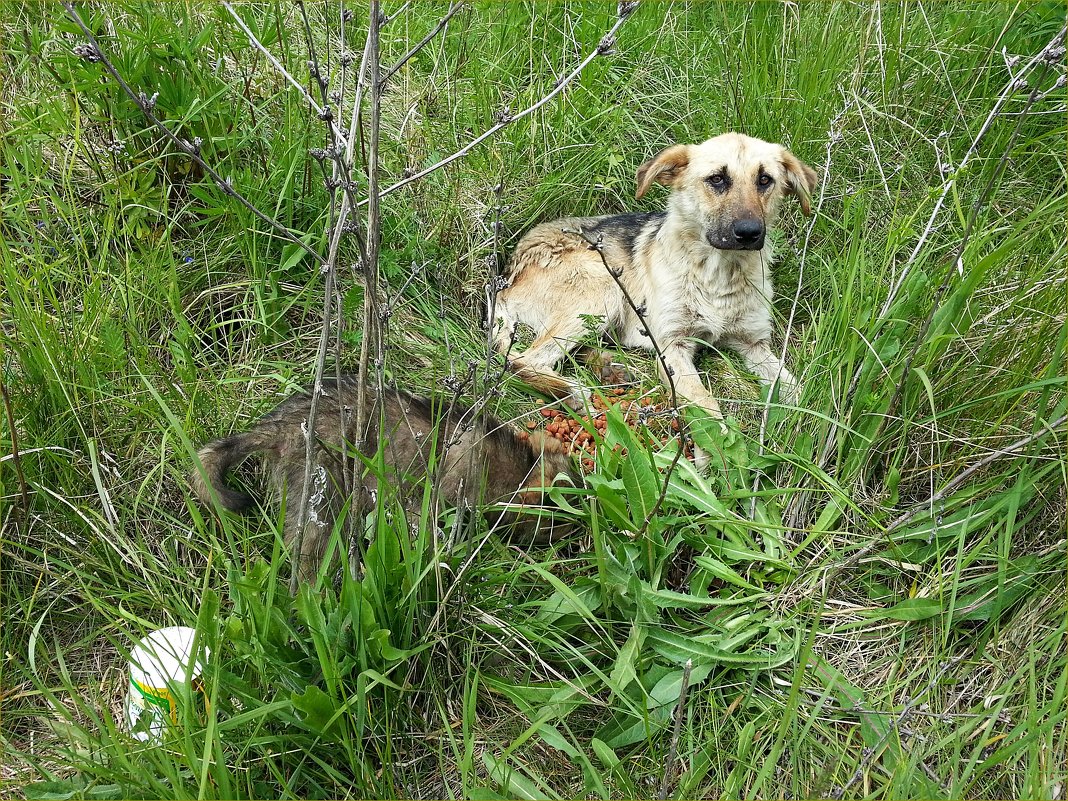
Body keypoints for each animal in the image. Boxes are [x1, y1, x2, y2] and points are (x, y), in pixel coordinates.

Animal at [192, 380, 576, 580]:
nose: (577, 546)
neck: (515, 464)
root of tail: (278, 425)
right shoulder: (444, 487)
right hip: (324, 487)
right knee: (311, 548)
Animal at [491, 130, 815, 420]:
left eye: (765, 180)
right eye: (717, 179)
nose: (749, 232)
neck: (717, 275)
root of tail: (507, 273)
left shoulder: (755, 345)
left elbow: (800, 393)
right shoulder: (674, 347)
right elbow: (708, 407)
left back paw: (608, 368)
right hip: (603, 288)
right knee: (522, 360)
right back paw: (573, 393)